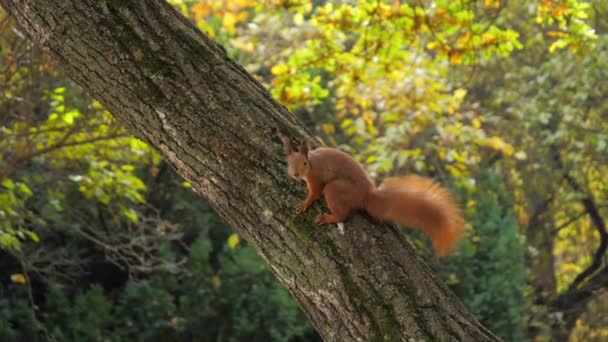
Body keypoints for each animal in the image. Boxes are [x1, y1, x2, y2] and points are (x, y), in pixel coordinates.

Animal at [282, 136, 466, 256]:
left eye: (304, 163)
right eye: (288, 163)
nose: (296, 174)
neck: (312, 163)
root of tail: (366, 195)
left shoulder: (316, 178)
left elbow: (314, 193)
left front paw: (305, 203)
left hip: (335, 189)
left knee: (342, 214)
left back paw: (327, 218)